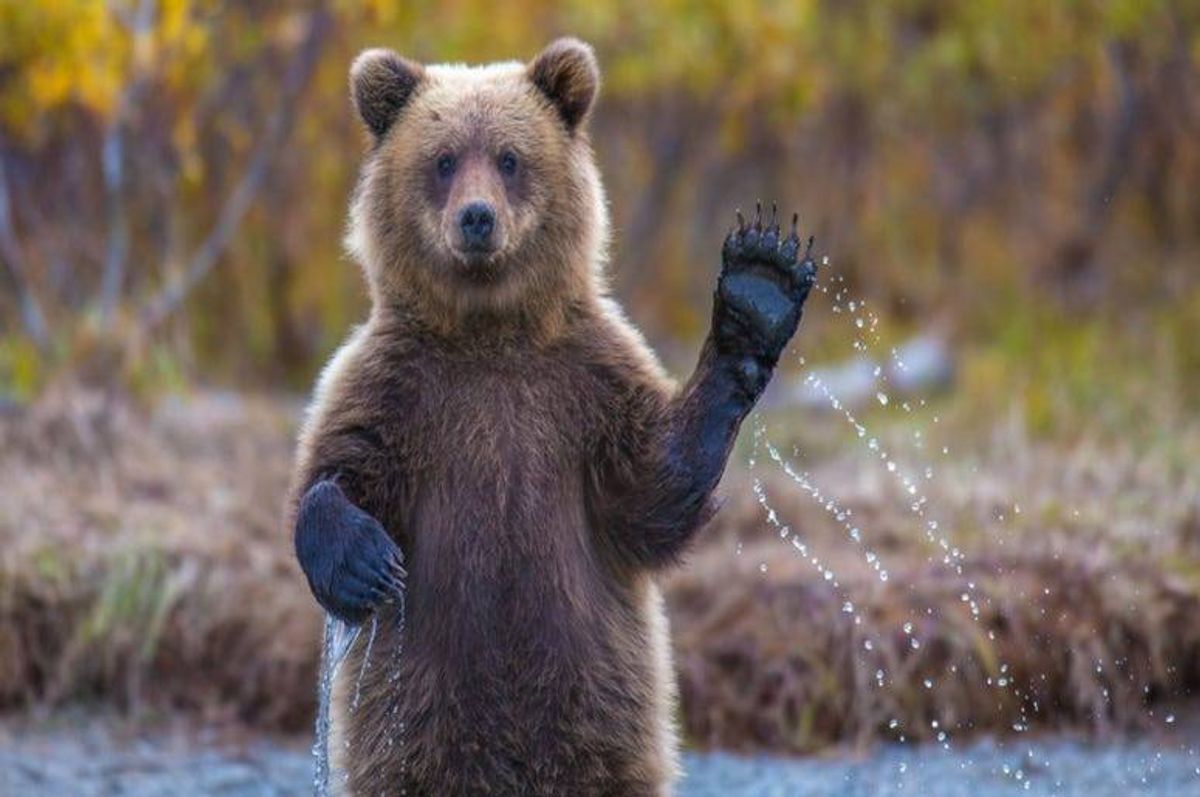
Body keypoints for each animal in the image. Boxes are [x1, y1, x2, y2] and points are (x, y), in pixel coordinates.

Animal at [288, 37, 816, 796]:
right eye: (443, 158)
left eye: (510, 157)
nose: (477, 218)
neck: (490, 331)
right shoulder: (395, 386)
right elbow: (338, 468)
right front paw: (365, 562)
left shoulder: (584, 383)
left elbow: (652, 489)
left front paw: (758, 288)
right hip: (414, 721)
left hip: (600, 711)